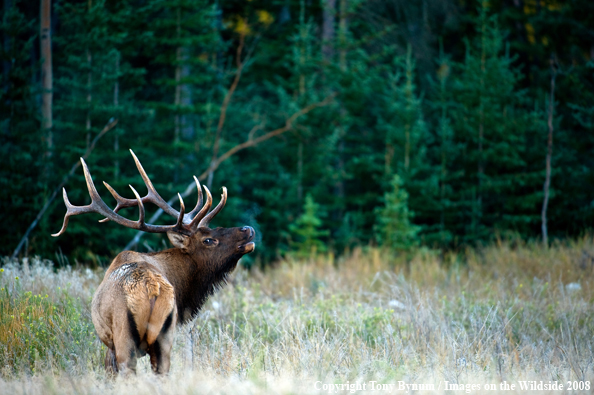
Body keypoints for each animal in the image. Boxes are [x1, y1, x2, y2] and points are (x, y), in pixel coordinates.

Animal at [52, 151, 253, 374]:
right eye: (208, 240)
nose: (248, 229)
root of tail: (151, 288)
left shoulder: (109, 345)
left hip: (124, 336)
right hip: (163, 336)